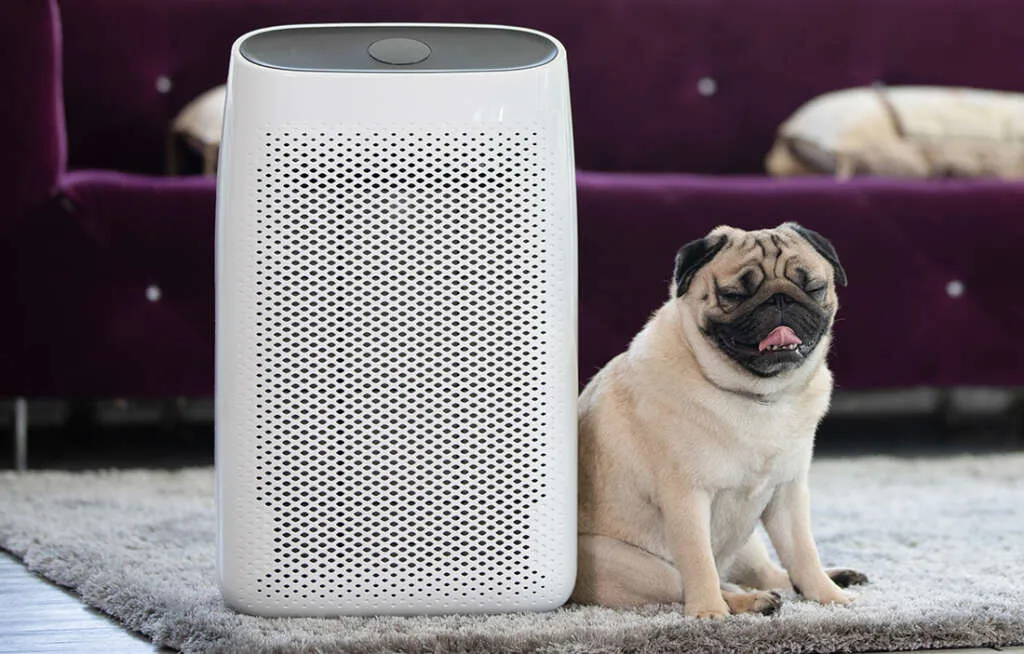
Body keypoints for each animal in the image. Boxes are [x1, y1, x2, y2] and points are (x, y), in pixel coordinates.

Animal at [573, 223, 868, 618]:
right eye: (733, 295)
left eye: (813, 287)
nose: (779, 299)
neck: (759, 396)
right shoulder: (686, 497)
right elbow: (699, 563)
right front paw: (708, 613)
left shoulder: (788, 495)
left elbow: (803, 552)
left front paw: (828, 596)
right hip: (635, 567)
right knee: (704, 581)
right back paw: (748, 601)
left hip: (748, 543)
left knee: (769, 573)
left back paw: (834, 576)